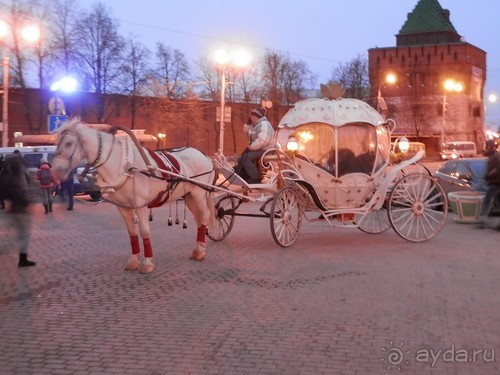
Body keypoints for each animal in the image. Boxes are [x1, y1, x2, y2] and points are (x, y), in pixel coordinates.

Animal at [52, 119, 215, 274]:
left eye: (68, 143)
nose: (56, 171)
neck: (123, 166)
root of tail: (205, 156)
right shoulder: (123, 207)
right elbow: (132, 233)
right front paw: (134, 260)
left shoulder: (141, 205)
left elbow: (144, 231)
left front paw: (148, 263)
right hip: (189, 197)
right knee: (199, 220)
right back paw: (198, 250)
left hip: (199, 194)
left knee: (204, 217)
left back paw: (201, 252)